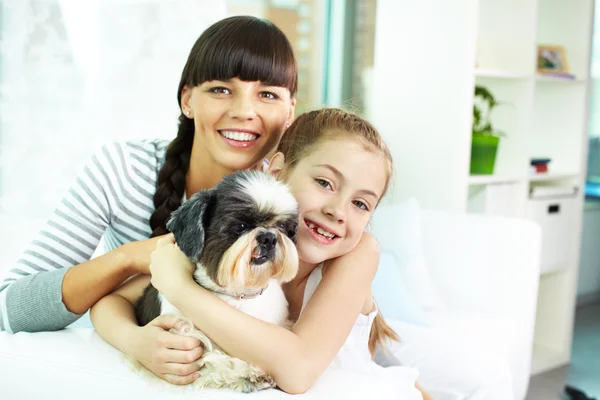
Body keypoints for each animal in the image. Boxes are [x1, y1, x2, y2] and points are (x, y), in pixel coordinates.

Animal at [134, 170, 298, 392]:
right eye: (241, 226)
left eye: (282, 226)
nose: (269, 237)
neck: (238, 294)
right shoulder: (185, 336)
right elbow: (212, 359)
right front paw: (248, 373)